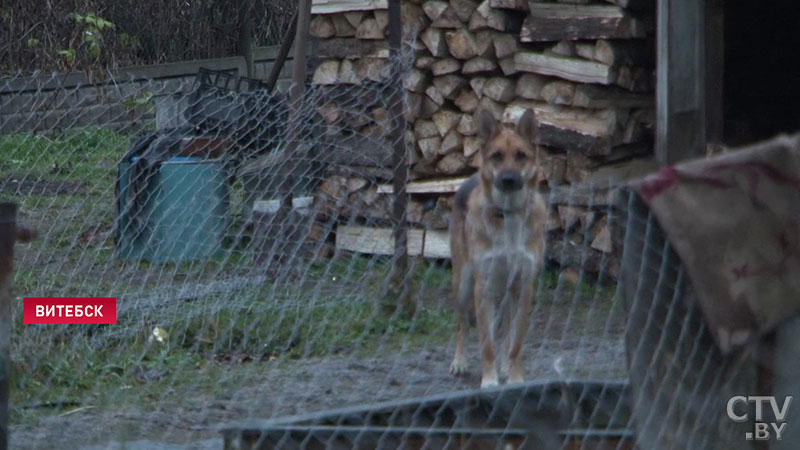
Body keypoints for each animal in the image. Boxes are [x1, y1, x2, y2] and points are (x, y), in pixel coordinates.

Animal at [446, 109, 548, 386]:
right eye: (497, 156)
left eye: (521, 156)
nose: (509, 179)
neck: (508, 214)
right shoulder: (484, 287)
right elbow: (486, 342)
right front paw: (489, 381)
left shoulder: (524, 286)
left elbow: (515, 343)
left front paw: (514, 378)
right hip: (463, 284)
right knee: (461, 323)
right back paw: (459, 362)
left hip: (508, 292)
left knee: (504, 332)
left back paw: (503, 366)